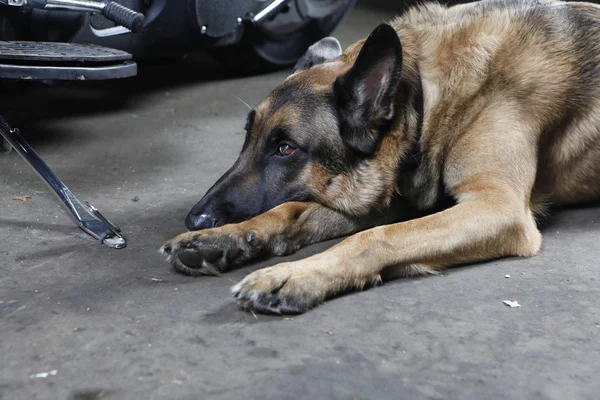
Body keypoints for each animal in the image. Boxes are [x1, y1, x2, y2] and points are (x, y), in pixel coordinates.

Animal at [162, 0, 600, 312]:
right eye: (247, 137)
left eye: (286, 149)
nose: (195, 219)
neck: (424, 94)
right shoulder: (393, 192)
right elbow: (292, 211)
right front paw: (223, 237)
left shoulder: (498, 207)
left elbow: (374, 237)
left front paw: (296, 276)